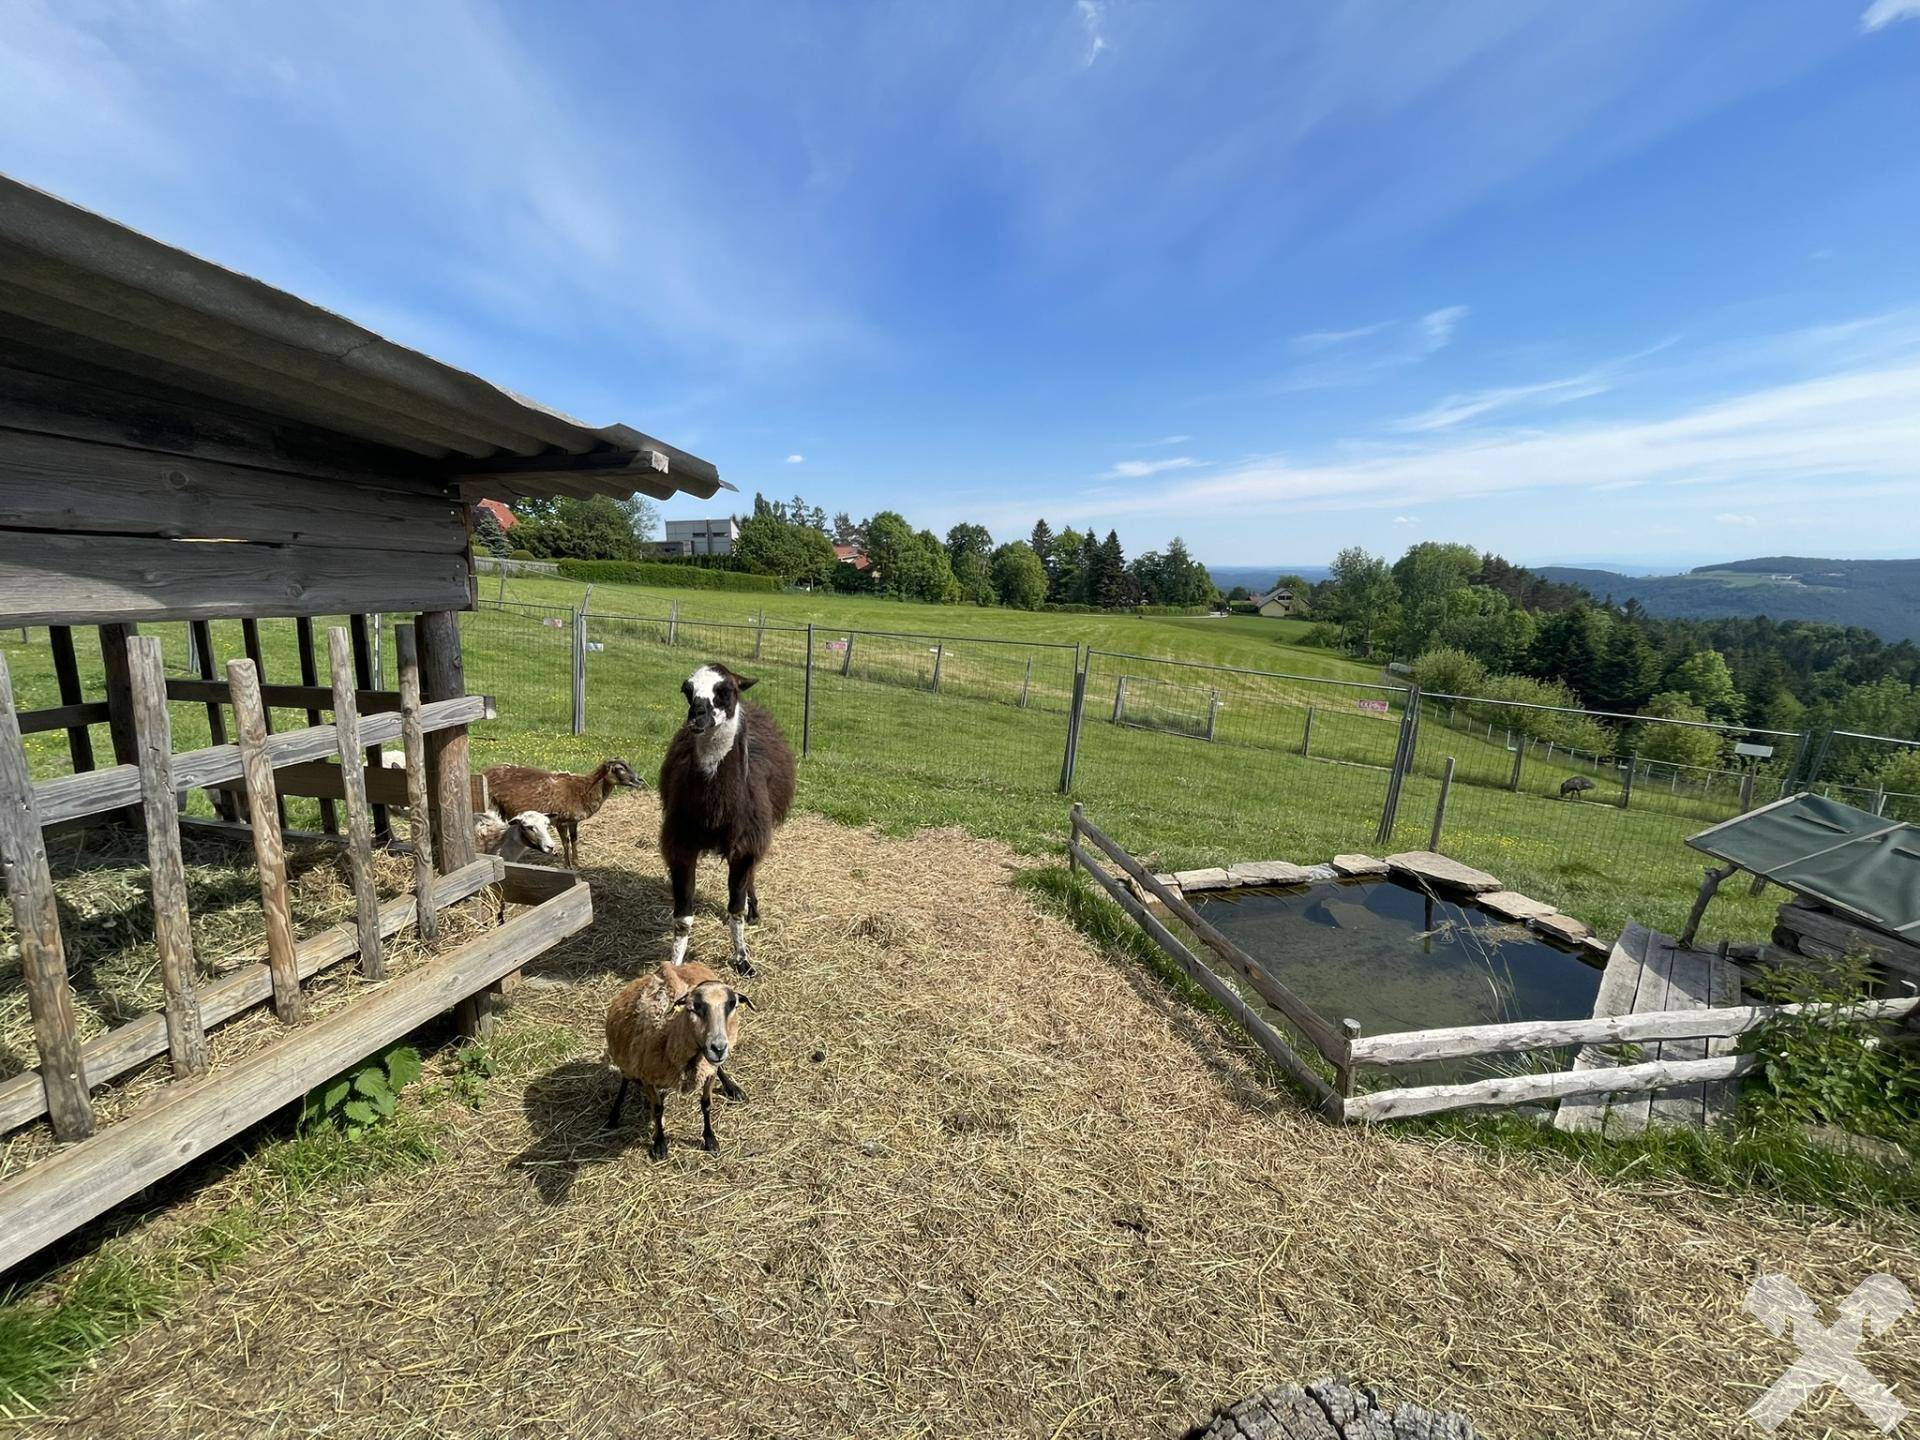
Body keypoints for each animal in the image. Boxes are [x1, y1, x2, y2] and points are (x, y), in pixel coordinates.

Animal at [483, 758, 643, 868]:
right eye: (620, 768)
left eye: (630, 765)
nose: (640, 780)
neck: (584, 791)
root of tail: (485, 771)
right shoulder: (561, 820)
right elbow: (565, 843)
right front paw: (567, 865)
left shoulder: (573, 821)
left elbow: (574, 840)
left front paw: (577, 862)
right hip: (492, 805)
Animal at [605, 960, 752, 1159]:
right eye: (694, 1007)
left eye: (732, 1004)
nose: (718, 1048)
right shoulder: (647, 1077)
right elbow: (658, 1109)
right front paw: (660, 1144)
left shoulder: (708, 1071)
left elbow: (706, 1104)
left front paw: (710, 1139)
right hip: (626, 1058)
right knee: (625, 1078)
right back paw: (614, 1115)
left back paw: (733, 1088)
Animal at [659, 663, 795, 975]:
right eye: (687, 689)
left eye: (725, 690)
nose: (697, 715)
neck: (715, 811)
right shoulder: (681, 844)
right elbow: (682, 919)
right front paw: (675, 965)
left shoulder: (746, 844)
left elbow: (736, 910)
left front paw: (743, 960)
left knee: (750, 878)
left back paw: (754, 909)